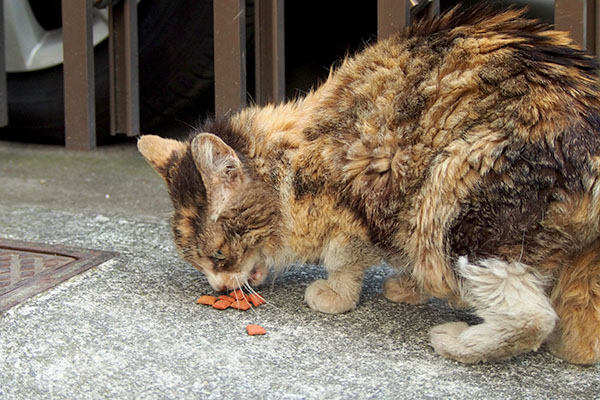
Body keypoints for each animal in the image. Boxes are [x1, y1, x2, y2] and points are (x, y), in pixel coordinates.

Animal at [138, 4, 600, 364]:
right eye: (196, 261)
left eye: (217, 255)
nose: (216, 287)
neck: (293, 159)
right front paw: (408, 288)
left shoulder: (356, 202)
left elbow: (343, 259)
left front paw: (334, 296)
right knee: (579, 333)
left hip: (453, 200)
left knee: (531, 316)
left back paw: (456, 342)